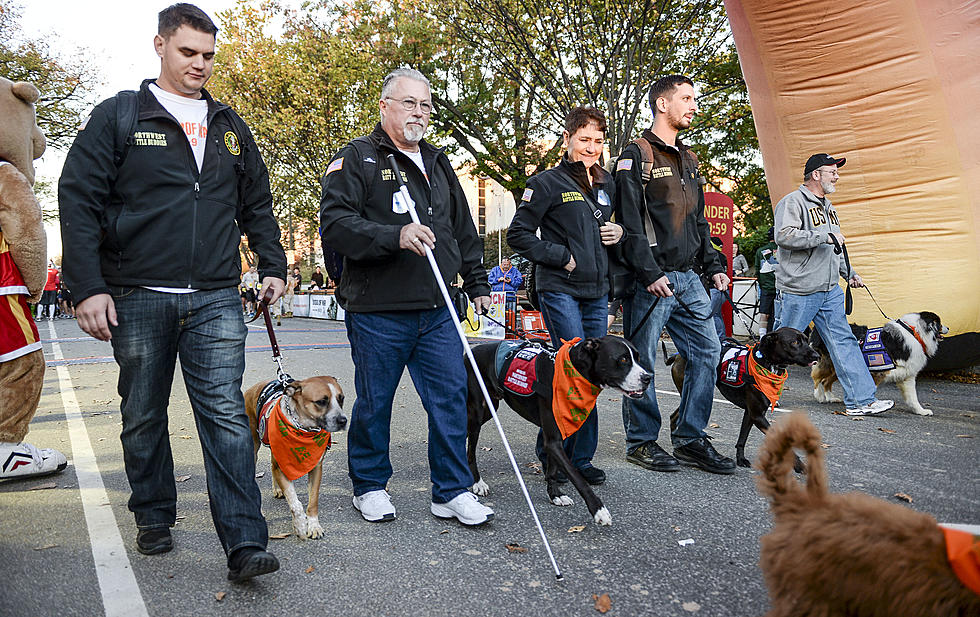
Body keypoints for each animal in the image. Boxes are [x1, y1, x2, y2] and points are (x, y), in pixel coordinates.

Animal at [245, 372, 348, 536]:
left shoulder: (316, 468)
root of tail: (252, 388)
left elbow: (313, 501)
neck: (304, 428)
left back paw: (278, 489)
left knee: (273, 465)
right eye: (321, 402)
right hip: (254, 447)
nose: (343, 421)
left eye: (341, 398)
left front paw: (314, 525)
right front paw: (300, 524)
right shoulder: (283, 467)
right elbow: (295, 501)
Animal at [466, 334, 652, 528]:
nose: (648, 378)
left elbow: (553, 471)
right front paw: (598, 509)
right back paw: (478, 482)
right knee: (471, 449)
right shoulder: (553, 441)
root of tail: (472, 350)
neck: (574, 373)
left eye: (638, 358)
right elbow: (578, 478)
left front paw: (555, 495)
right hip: (478, 412)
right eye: (622, 359)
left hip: (490, 407)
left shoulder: (557, 437)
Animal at [812, 312, 948, 414]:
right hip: (830, 364)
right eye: (940, 323)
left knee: (826, 381)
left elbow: (913, 398)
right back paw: (819, 395)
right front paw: (868, 404)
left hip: (840, 367)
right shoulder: (878, 371)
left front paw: (921, 411)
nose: (948, 328)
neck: (914, 333)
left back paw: (830, 397)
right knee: (817, 377)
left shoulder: (907, 375)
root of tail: (817, 331)